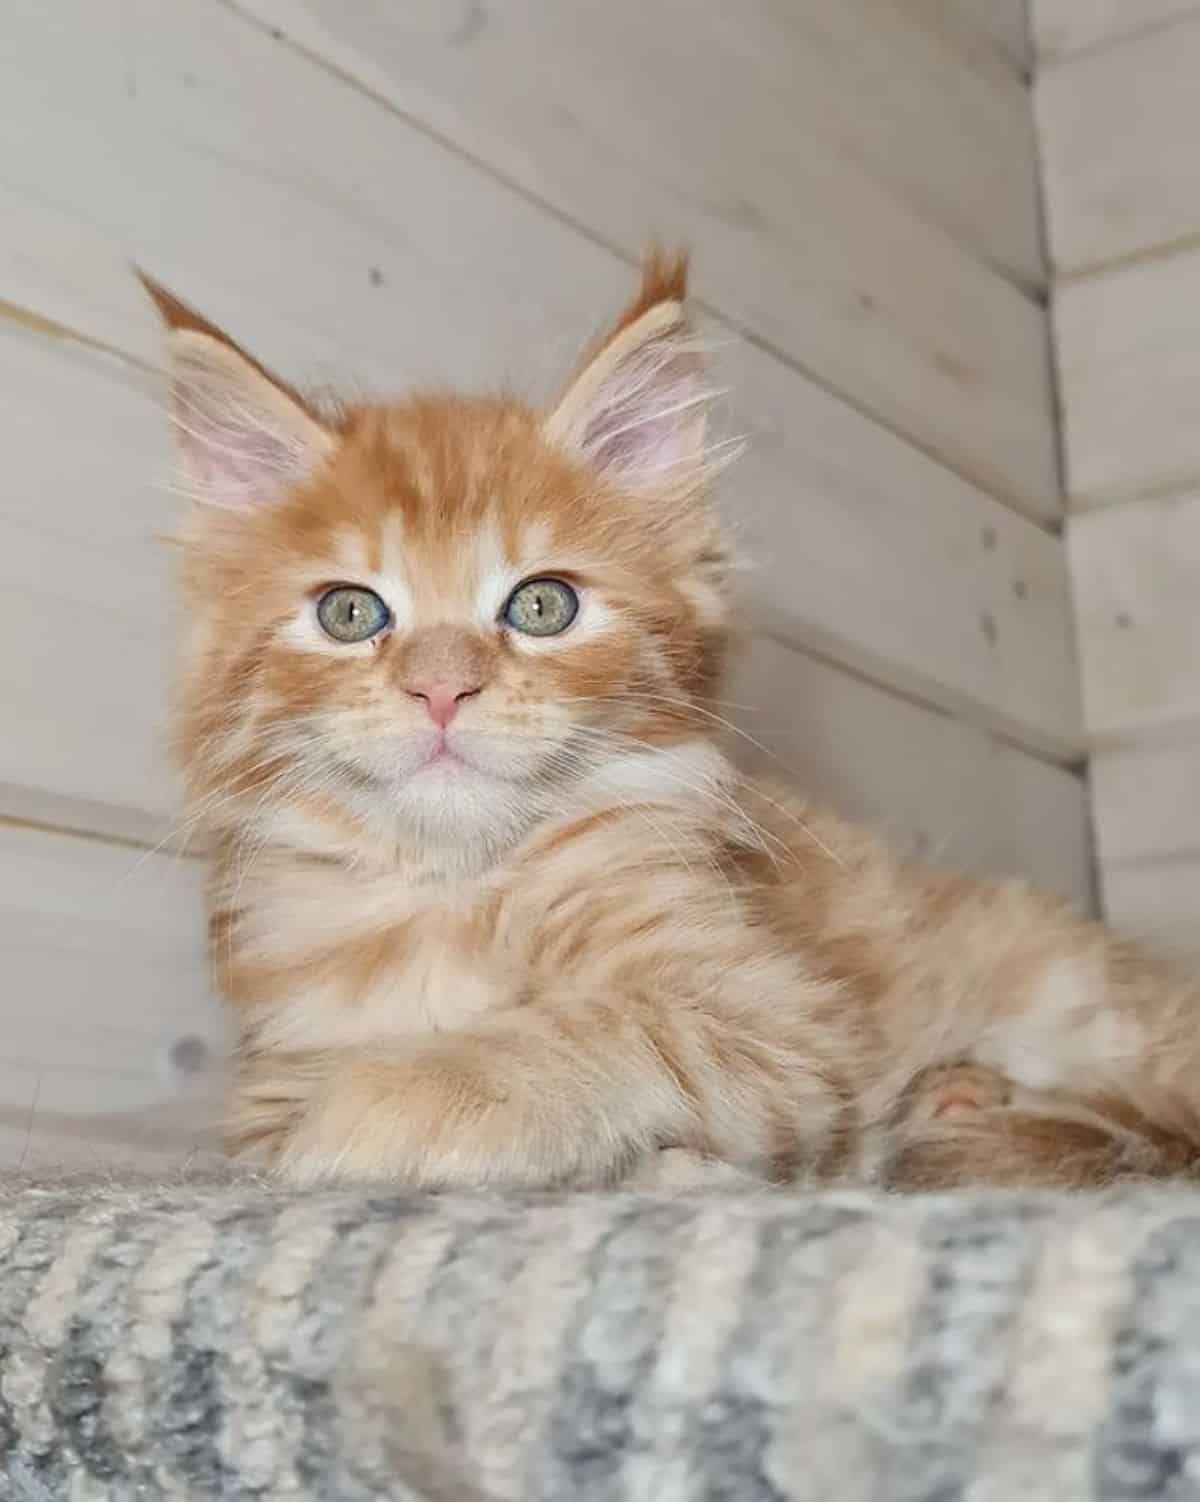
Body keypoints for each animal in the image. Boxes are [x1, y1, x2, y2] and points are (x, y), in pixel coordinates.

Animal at [150, 261, 1200, 1195]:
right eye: (350, 614)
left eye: (541, 607)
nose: (442, 690)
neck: (454, 896)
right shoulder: (268, 1075)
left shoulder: (790, 1019)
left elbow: (605, 1024)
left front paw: (398, 1097)